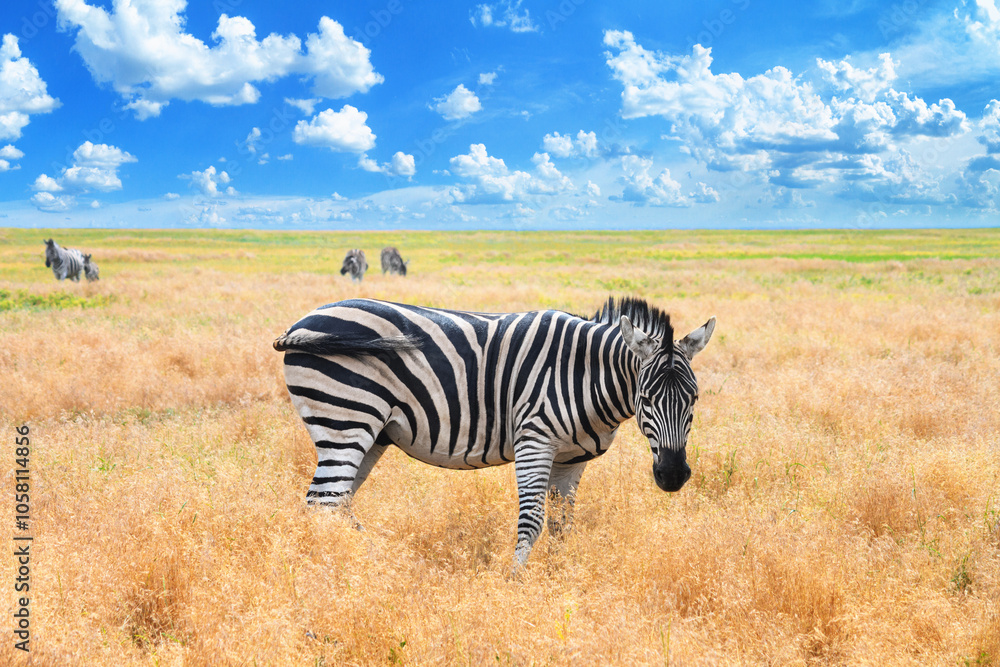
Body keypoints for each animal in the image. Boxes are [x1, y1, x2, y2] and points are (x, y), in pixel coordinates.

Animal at [274, 297, 716, 570]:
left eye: (695, 398)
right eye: (646, 398)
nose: (673, 476)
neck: (584, 374)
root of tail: (300, 322)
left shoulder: (572, 458)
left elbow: (562, 524)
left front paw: (559, 576)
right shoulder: (535, 440)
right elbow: (532, 519)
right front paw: (514, 580)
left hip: (372, 432)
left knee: (337, 503)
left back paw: (367, 560)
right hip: (345, 419)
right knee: (323, 503)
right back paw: (331, 571)